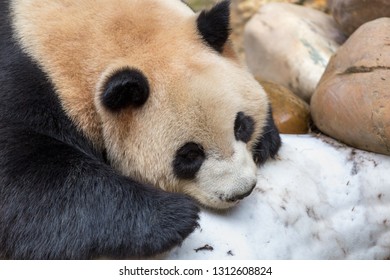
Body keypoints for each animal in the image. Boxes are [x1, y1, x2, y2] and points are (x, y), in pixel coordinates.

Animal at [0, 0, 280, 260]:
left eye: (241, 126)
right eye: (190, 154)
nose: (241, 190)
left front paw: (267, 140)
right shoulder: (26, 86)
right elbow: (26, 177)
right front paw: (172, 217)